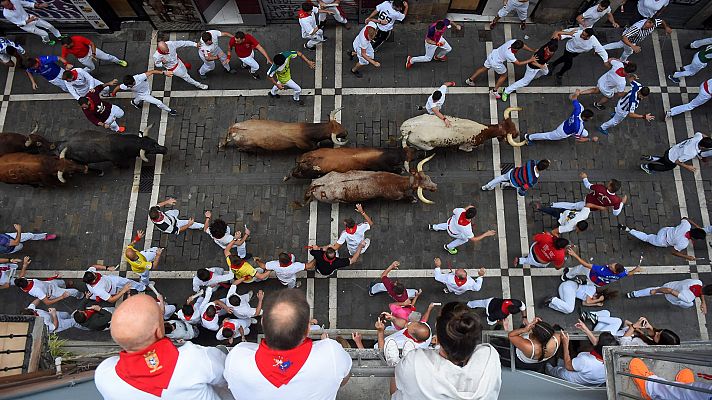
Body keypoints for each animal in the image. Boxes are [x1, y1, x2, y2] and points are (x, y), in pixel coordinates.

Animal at [220, 108, 348, 152]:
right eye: (339, 133)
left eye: (338, 123)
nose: (346, 132)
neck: (307, 131)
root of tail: (233, 129)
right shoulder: (306, 146)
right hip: (248, 145)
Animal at [286, 145, 418, 180]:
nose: (416, 149)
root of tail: (305, 159)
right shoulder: (381, 166)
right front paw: (400, 170)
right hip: (308, 173)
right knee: (296, 174)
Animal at [298, 152, 436, 205]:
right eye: (424, 186)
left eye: (428, 177)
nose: (435, 187)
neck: (396, 182)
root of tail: (314, 186)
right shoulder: (395, 196)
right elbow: (405, 197)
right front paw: (413, 199)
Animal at [400, 106, 528, 152]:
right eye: (511, 133)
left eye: (513, 124)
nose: (518, 133)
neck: (483, 131)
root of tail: (407, 128)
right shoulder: (466, 145)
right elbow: (467, 149)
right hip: (426, 145)